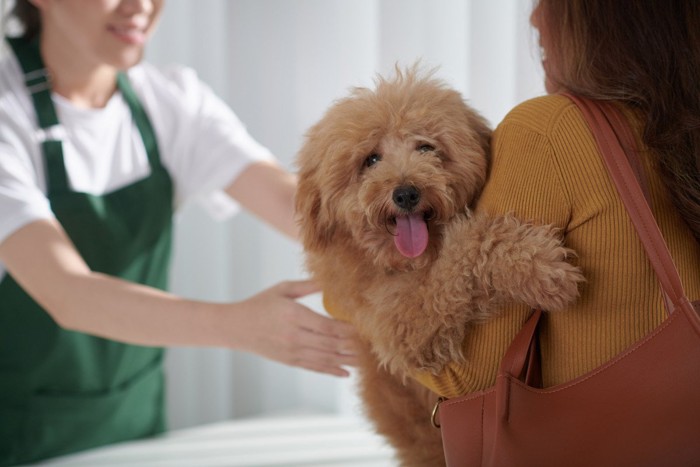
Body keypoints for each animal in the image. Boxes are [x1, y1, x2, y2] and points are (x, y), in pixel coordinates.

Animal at [296, 67, 584, 466]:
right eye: (371, 160)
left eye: (426, 147)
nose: (406, 192)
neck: (412, 263)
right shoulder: (403, 327)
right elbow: (465, 249)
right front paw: (540, 268)